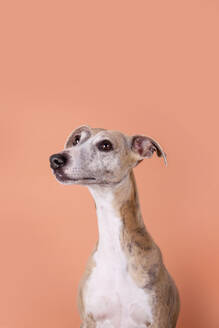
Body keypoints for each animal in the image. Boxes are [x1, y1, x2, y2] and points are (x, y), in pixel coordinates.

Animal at [49, 126, 180, 328]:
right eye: (77, 140)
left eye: (106, 145)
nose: (55, 160)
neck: (114, 245)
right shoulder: (89, 319)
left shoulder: (159, 321)